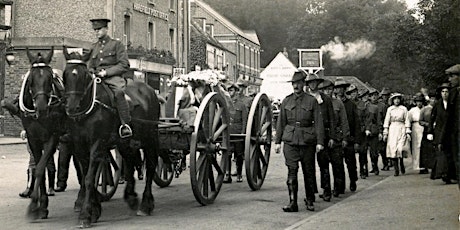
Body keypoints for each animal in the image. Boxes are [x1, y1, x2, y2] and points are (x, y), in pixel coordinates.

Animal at [16, 46, 65, 219]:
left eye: (50, 78)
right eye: (31, 79)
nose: (42, 107)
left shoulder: (52, 137)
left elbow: (40, 168)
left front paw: (35, 205)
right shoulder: (33, 139)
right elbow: (38, 168)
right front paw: (41, 204)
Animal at [63, 45, 160, 227]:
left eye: (83, 75)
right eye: (65, 74)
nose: (71, 108)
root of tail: (149, 90)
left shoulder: (97, 144)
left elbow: (89, 178)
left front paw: (86, 215)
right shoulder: (80, 147)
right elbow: (87, 178)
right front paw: (94, 210)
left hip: (150, 138)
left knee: (150, 166)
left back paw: (146, 204)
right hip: (125, 143)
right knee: (130, 164)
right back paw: (131, 197)